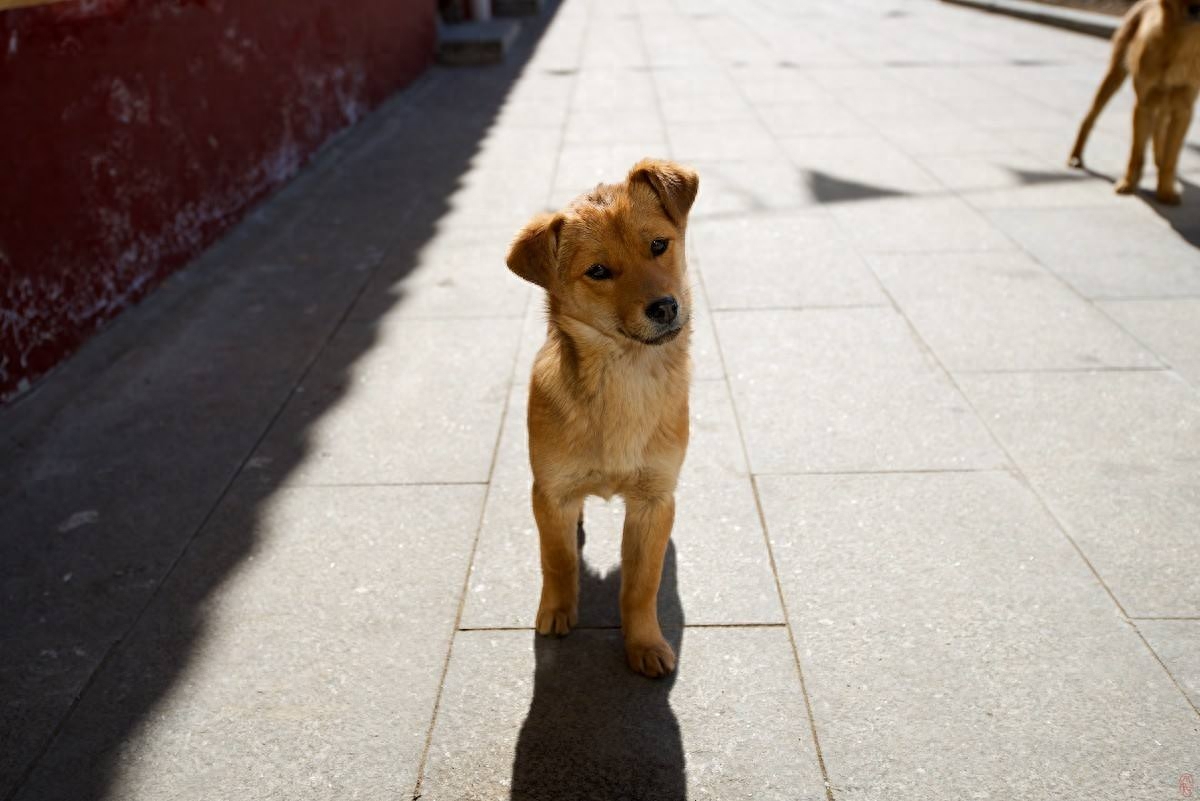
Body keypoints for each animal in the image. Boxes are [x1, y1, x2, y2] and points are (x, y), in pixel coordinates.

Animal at [504, 159, 696, 681]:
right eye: (598, 271)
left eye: (658, 245)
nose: (665, 307)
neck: (625, 378)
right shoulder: (550, 491)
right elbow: (557, 560)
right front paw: (557, 611)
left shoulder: (654, 501)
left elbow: (641, 585)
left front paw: (644, 642)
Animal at [1070, 0, 1200, 203]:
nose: (1196, 11)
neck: (1180, 41)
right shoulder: (1143, 105)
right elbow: (1135, 152)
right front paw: (1128, 184)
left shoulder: (1183, 111)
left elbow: (1171, 157)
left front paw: (1166, 191)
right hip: (1114, 75)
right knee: (1089, 118)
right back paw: (1076, 157)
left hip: (1163, 103)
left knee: (1159, 132)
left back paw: (1159, 163)